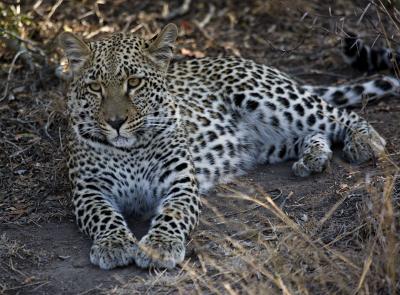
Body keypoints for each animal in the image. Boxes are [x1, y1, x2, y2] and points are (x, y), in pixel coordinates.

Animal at [57, 23, 398, 270]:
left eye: (135, 83)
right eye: (95, 87)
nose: (115, 122)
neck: (130, 149)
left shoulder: (180, 183)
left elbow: (173, 214)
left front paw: (159, 247)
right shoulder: (89, 190)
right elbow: (104, 215)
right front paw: (114, 244)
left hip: (269, 99)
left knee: (336, 113)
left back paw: (364, 140)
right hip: (268, 141)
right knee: (312, 133)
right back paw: (313, 157)